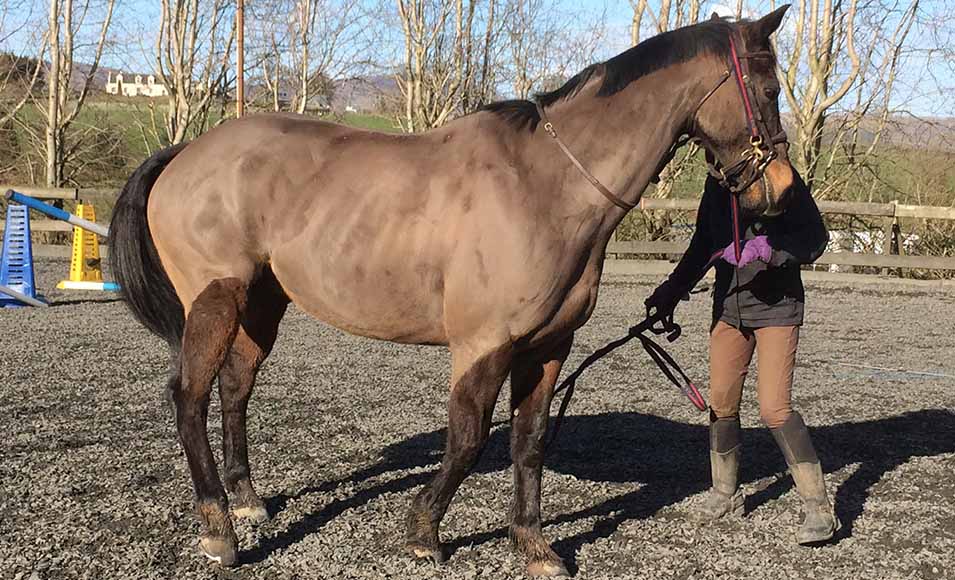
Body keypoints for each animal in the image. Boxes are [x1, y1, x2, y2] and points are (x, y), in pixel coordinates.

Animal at [112, 7, 796, 576]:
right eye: (769, 90)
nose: (781, 192)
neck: (547, 185)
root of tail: (185, 154)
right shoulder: (483, 344)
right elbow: (467, 439)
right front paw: (424, 534)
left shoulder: (547, 347)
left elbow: (529, 441)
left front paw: (534, 545)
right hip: (215, 301)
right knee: (189, 397)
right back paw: (219, 531)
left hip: (261, 303)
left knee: (235, 389)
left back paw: (248, 501)